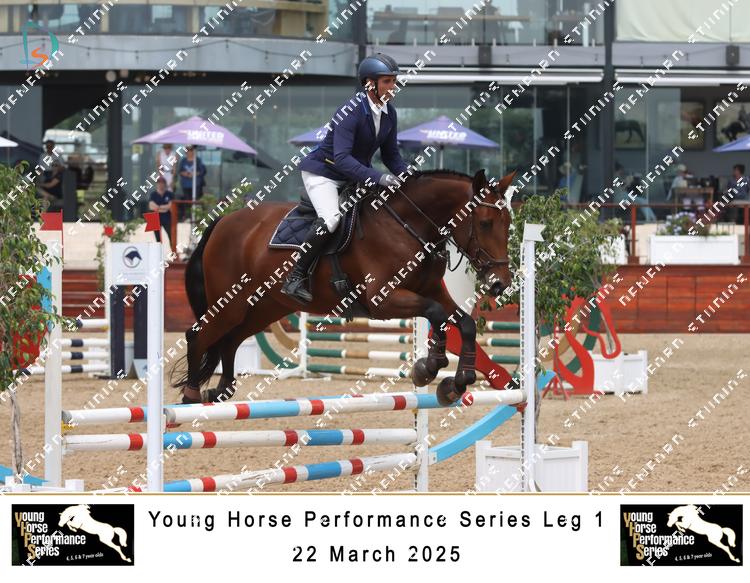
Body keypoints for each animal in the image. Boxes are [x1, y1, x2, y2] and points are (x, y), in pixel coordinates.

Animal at [174, 169, 516, 407]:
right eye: (485, 223)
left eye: (509, 222)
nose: (500, 283)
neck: (409, 226)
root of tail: (222, 222)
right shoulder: (383, 299)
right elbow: (435, 315)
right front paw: (429, 368)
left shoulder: (434, 291)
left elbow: (465, 323)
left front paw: (457, 382)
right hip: (230, 303)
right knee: (198, 335)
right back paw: (190, 396)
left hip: (265, 307)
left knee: (230, 340)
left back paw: (220, 390)